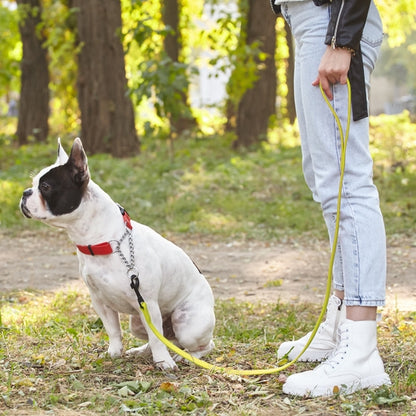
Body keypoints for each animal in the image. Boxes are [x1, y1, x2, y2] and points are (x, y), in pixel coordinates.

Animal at [19, 140, 216, 370]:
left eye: (45, 187)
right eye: (33, 183)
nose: (25, 192)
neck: (103, 242)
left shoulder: (148, 303)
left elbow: (157, 340)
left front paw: (163, 362)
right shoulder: (100, 301)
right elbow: (113, 329)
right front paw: (114, 352)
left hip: (187, 325)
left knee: (200, 344)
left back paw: (186, 357)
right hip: (138, 323)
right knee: (163, 338)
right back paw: (141, 351)